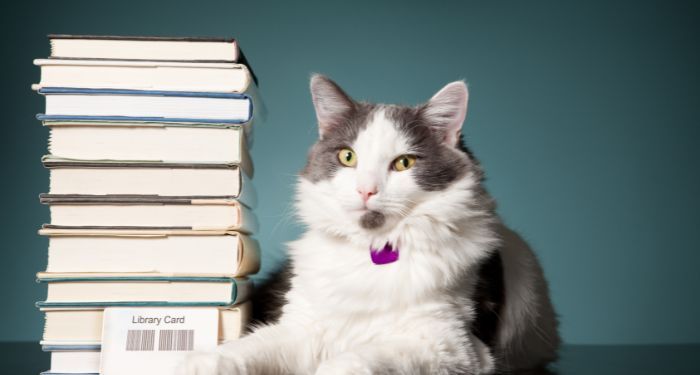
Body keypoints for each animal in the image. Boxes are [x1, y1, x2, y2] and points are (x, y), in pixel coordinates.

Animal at [178, 75, 560, 374]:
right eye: (348, 157)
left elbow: (356, 361)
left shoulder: (450, 345)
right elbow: (247, 349)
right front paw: (199, 362)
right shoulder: (302, 328)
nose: (366, 190)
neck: (372, 252)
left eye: (404, 163)